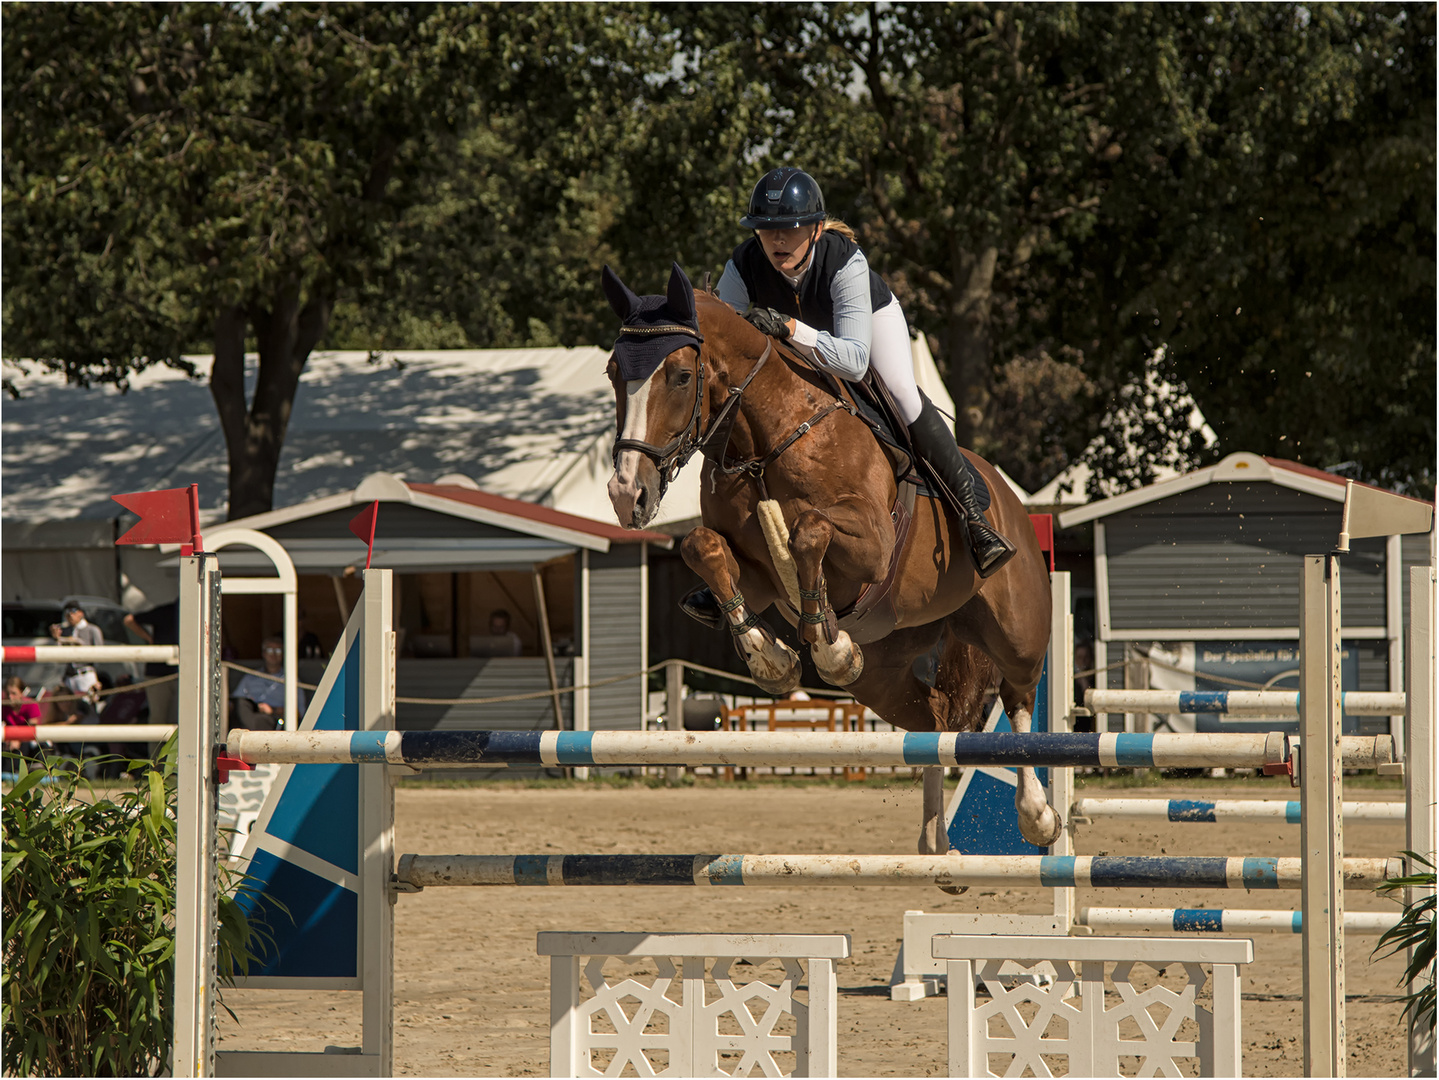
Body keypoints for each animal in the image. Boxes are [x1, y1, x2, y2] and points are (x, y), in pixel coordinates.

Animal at [595, 264, 1059, 851]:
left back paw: (1036, 815)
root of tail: (1011, 501)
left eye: (679, 376)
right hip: (883, 675)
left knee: (1019, 698)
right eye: (613, 372)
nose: (625, 493)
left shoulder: (874, 547)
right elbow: (704, 547)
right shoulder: (758, 576)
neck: (764, 440)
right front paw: (774, 659)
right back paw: (935, 844)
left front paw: (826, 645)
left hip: (1016, 630)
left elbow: (808, 532)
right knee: (935, 722)